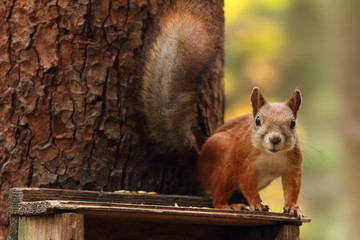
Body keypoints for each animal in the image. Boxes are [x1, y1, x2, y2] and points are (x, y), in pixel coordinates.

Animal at [197, 87, 304, 219]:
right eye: (257, 120)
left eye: (293, 123)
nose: (275, 139)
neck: (271, 154)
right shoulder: (243, 158)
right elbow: (248, 183)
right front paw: (257, 204)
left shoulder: (294, 164)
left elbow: (292, 186)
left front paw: (292, 207)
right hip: (223, 165)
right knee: (218, 197)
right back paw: (229, 206)